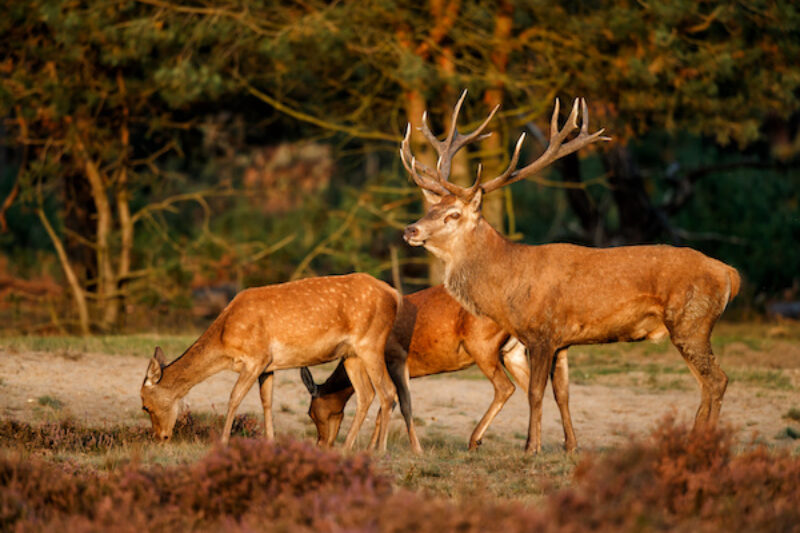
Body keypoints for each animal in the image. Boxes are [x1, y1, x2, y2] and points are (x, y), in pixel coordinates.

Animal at [141, 272, 416, 450]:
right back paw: (347, 447)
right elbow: (267, 401)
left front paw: (223, 441)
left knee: (387, 392)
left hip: (371, 342)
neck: (225, 339)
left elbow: (234, 397)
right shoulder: (267, 366)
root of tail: (395, 294)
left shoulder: (255, 357)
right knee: (366, 394)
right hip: (351, 354)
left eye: (145, 406)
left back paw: (378, 451)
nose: (160, 437)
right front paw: (270, 441)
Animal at [300, 284, 576, 450]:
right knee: (543, 389)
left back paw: (475, 440)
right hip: (513, 352)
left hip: (482, 347)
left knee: (505, 387)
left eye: (312, 412)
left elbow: (394, 403)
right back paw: (556, 445)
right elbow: (387, 405)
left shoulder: (395, 360)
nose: (322, 444)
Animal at [404, 91, 740, 454]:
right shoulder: (562, 341)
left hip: (691, 321)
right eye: (431, 207)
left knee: (717, 380)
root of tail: (730, 274)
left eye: (453, 214)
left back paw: (703, 443)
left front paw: (531, 448)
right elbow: (562, 393)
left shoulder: (542, 332)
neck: (508, 286)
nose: (410, 230)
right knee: (706, 383)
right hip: (691, 326)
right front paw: (569, 446)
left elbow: (536, 393)